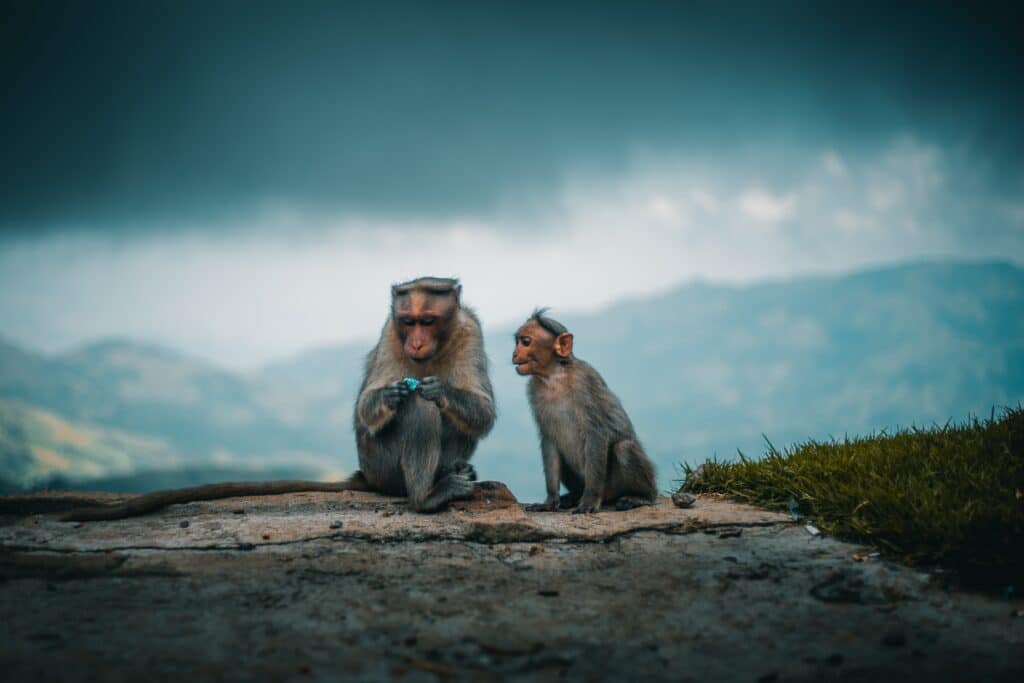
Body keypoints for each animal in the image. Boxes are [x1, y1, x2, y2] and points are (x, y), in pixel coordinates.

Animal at [64, 274, 495, 520]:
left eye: (428, 321)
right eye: (409, 321)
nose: (416, 342)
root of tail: (366, 475)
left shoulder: (470, 330)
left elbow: (483, 412)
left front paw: (439, 388)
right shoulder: (390, 331)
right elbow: (367, 408)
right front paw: (393, 393)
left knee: (449, 416)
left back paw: (448, 473)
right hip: (383, 465)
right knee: (419, 411)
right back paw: (426, 497)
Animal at [512, 309, 655, 511]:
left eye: (526, 341)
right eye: (517, 341)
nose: (515, 353)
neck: (554, 377)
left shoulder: (585, 383)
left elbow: (597, 432)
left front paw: (589, 500)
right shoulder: (534, 390)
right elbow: (549, 439)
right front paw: (550, 501)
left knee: (624, 448)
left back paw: (641, 496)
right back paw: (573, 496)